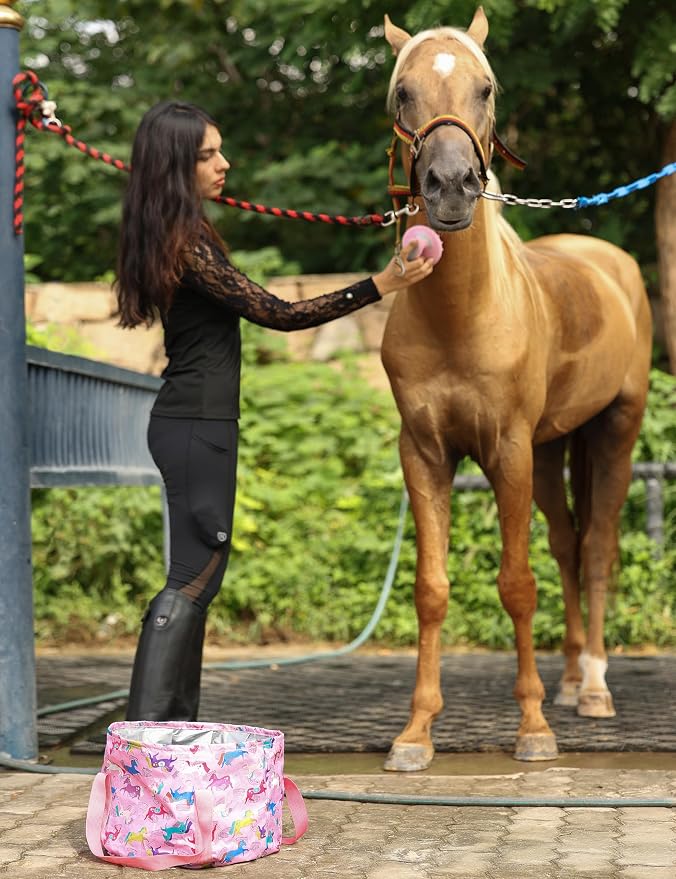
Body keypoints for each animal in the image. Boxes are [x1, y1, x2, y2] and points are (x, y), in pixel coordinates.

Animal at [380, 7, 652, 771]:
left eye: (487, 87)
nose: (449, 185)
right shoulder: (426, 453)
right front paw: (416, 732)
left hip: (615, 432)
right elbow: (432, 588)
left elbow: (516, 583)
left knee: (596, 548)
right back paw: (570, 679)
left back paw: (593, 687)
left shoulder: (508, 451)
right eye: (403, 91)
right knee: (567, 543)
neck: (462, 314)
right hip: (557, 446)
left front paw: (533, 728)